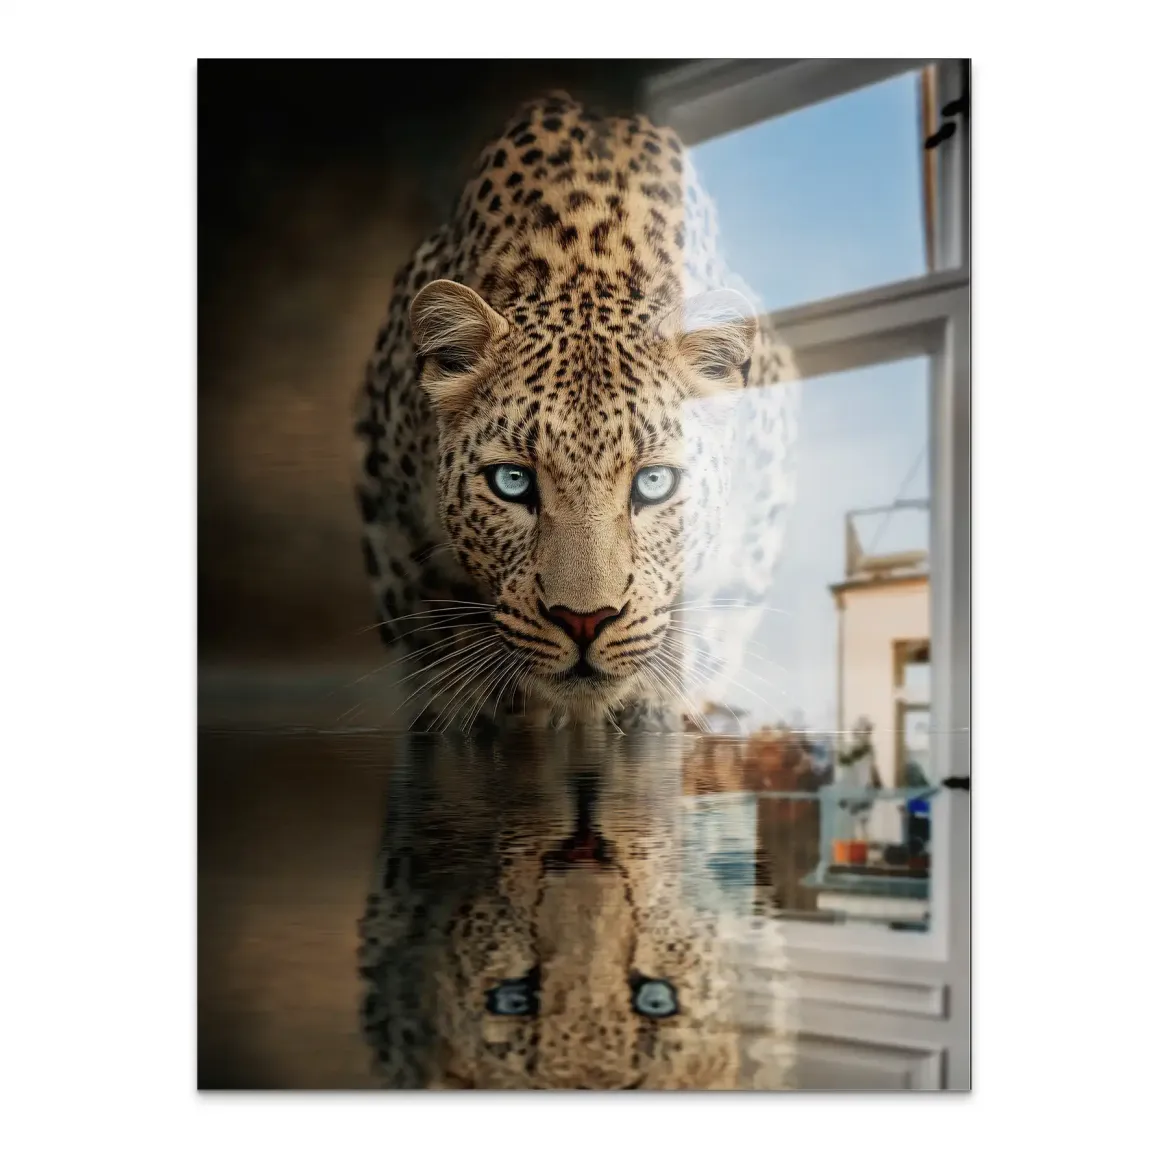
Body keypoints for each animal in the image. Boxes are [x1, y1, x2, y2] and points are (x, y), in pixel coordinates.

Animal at [355, 90, 799, 733]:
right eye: (512, 482)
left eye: (655, 483)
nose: (584, 620)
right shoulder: (388, 513)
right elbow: (435, 641)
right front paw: (479, 714)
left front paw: (655, 708)